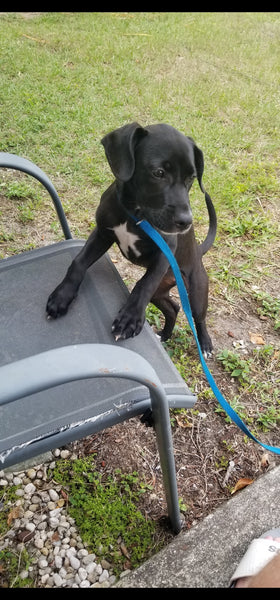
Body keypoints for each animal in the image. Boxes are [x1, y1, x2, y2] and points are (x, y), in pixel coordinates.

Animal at [46, 122, 217, 356]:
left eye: (191, 177)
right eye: (159, 172)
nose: (186, 222)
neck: (135, 214)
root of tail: (198, 251)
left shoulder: (164, 253)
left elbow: (143, 284)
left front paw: (130, 318)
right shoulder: (102, 234)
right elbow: (78, 263)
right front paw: (62, 296)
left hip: (197, 290)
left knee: (199, 317)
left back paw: (206, 345)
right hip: (160, 292)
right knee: (173, 308)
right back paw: (164, 335)